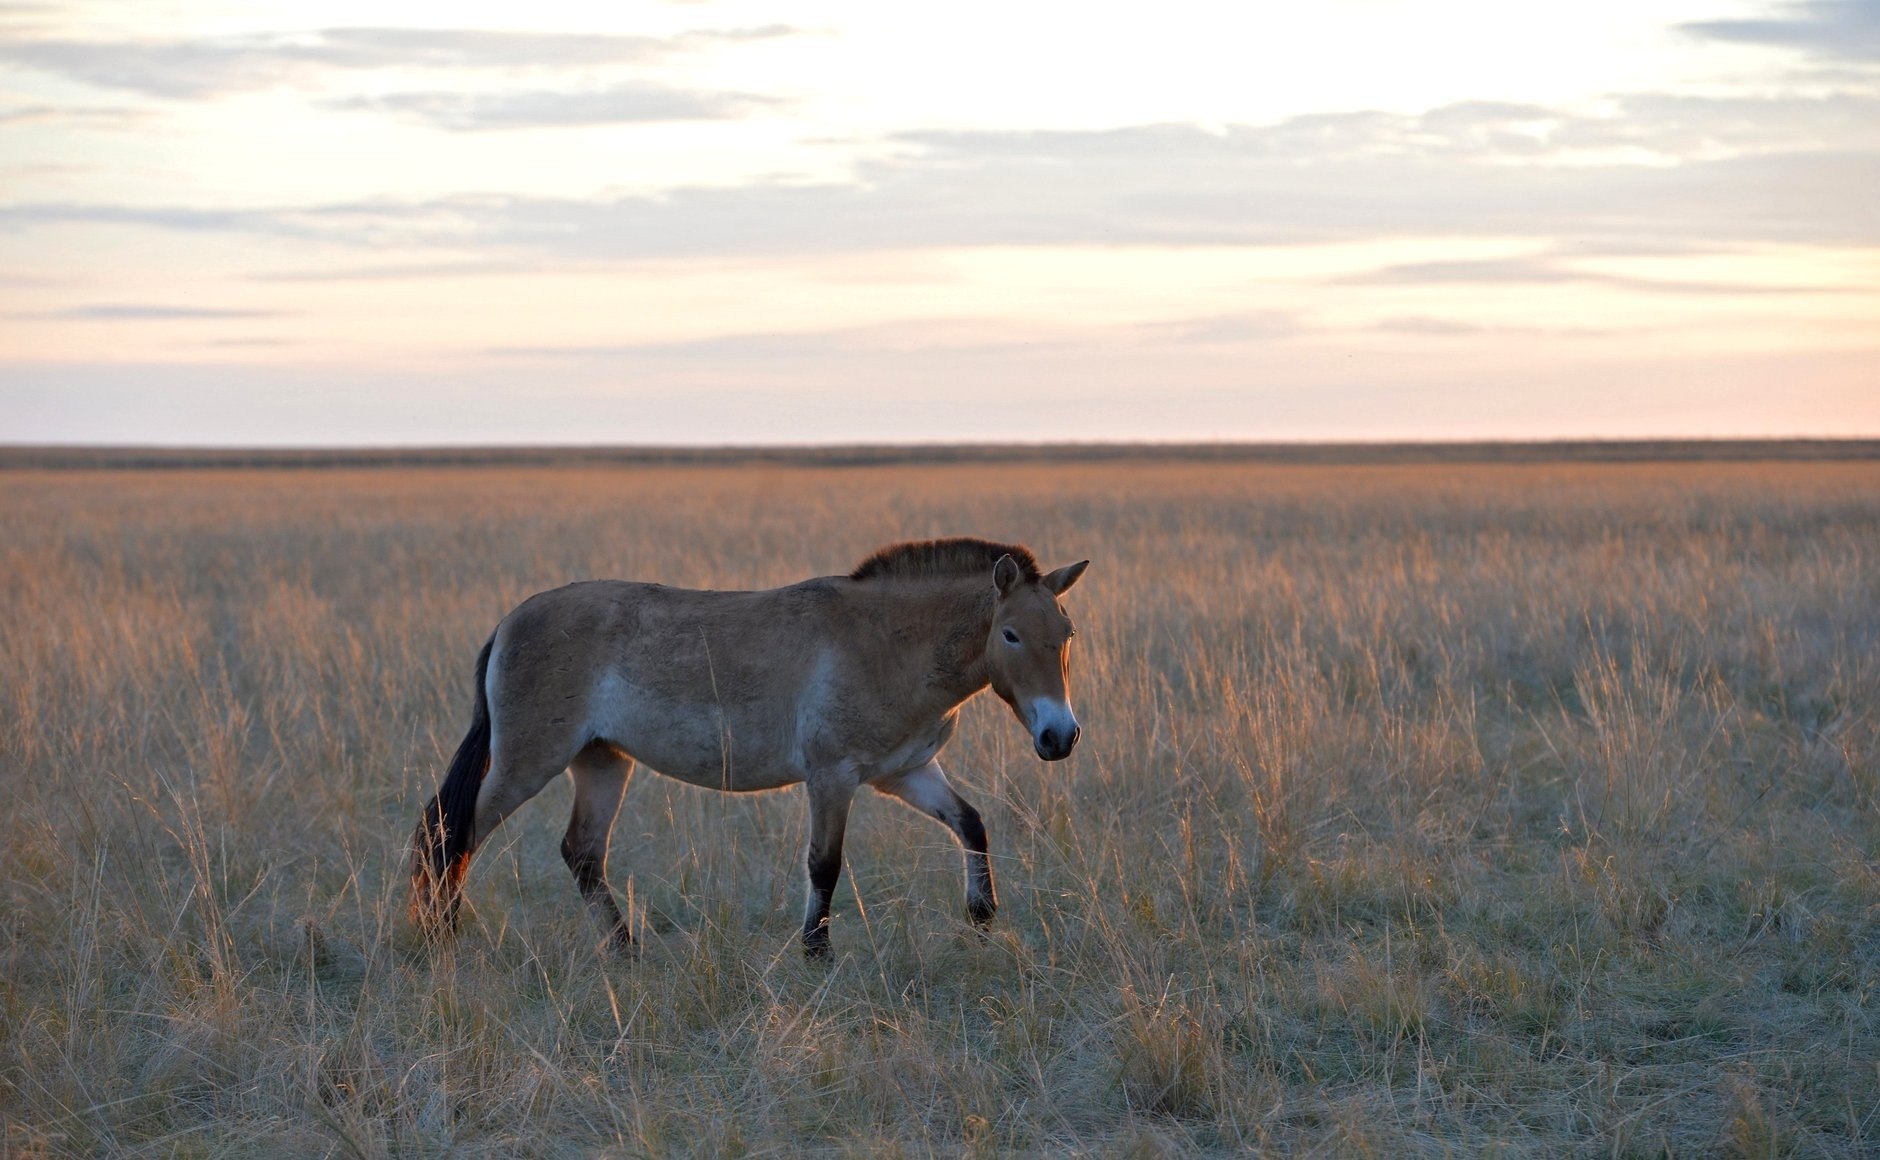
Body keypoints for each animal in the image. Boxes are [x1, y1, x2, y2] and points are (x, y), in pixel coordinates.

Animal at [410, 537, 1088, 957]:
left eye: (1067, 633)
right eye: (1010, 634)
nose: (1060, 737)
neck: (887, 642)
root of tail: (509, 621)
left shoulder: (908, 772)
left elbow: (971, 824)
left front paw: (981, 915)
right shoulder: (832, 777)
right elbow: (824, 864)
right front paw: (817, 951)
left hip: (602, 762)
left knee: (581, 853)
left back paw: (626, 949)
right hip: (527, 764)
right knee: (452, 832)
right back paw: (440, 936)